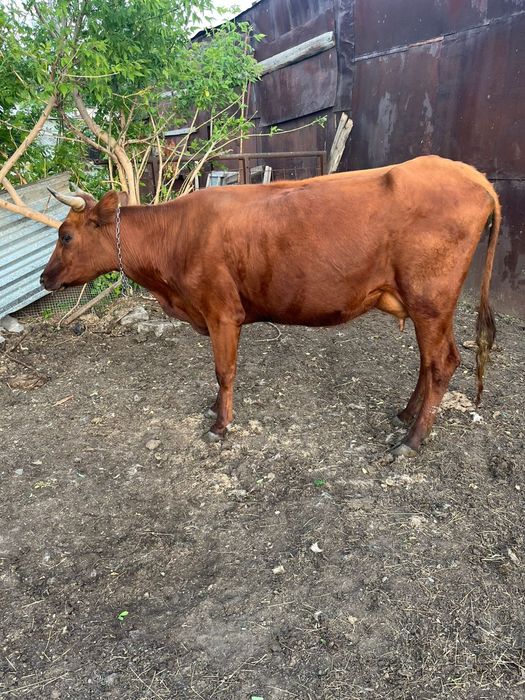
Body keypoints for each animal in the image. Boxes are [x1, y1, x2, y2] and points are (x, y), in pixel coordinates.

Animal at [42, 155, 500, 457]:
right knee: (431, 361)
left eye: (65, 235)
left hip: (430, 300)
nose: (44, 279)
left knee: (442, 363)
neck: (177, 236)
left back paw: (411, 441)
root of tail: (473, 175)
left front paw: (220, 424)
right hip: (428, 306)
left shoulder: (222, 313)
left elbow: (224, 371)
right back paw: (405, 415)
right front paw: (215, 409)